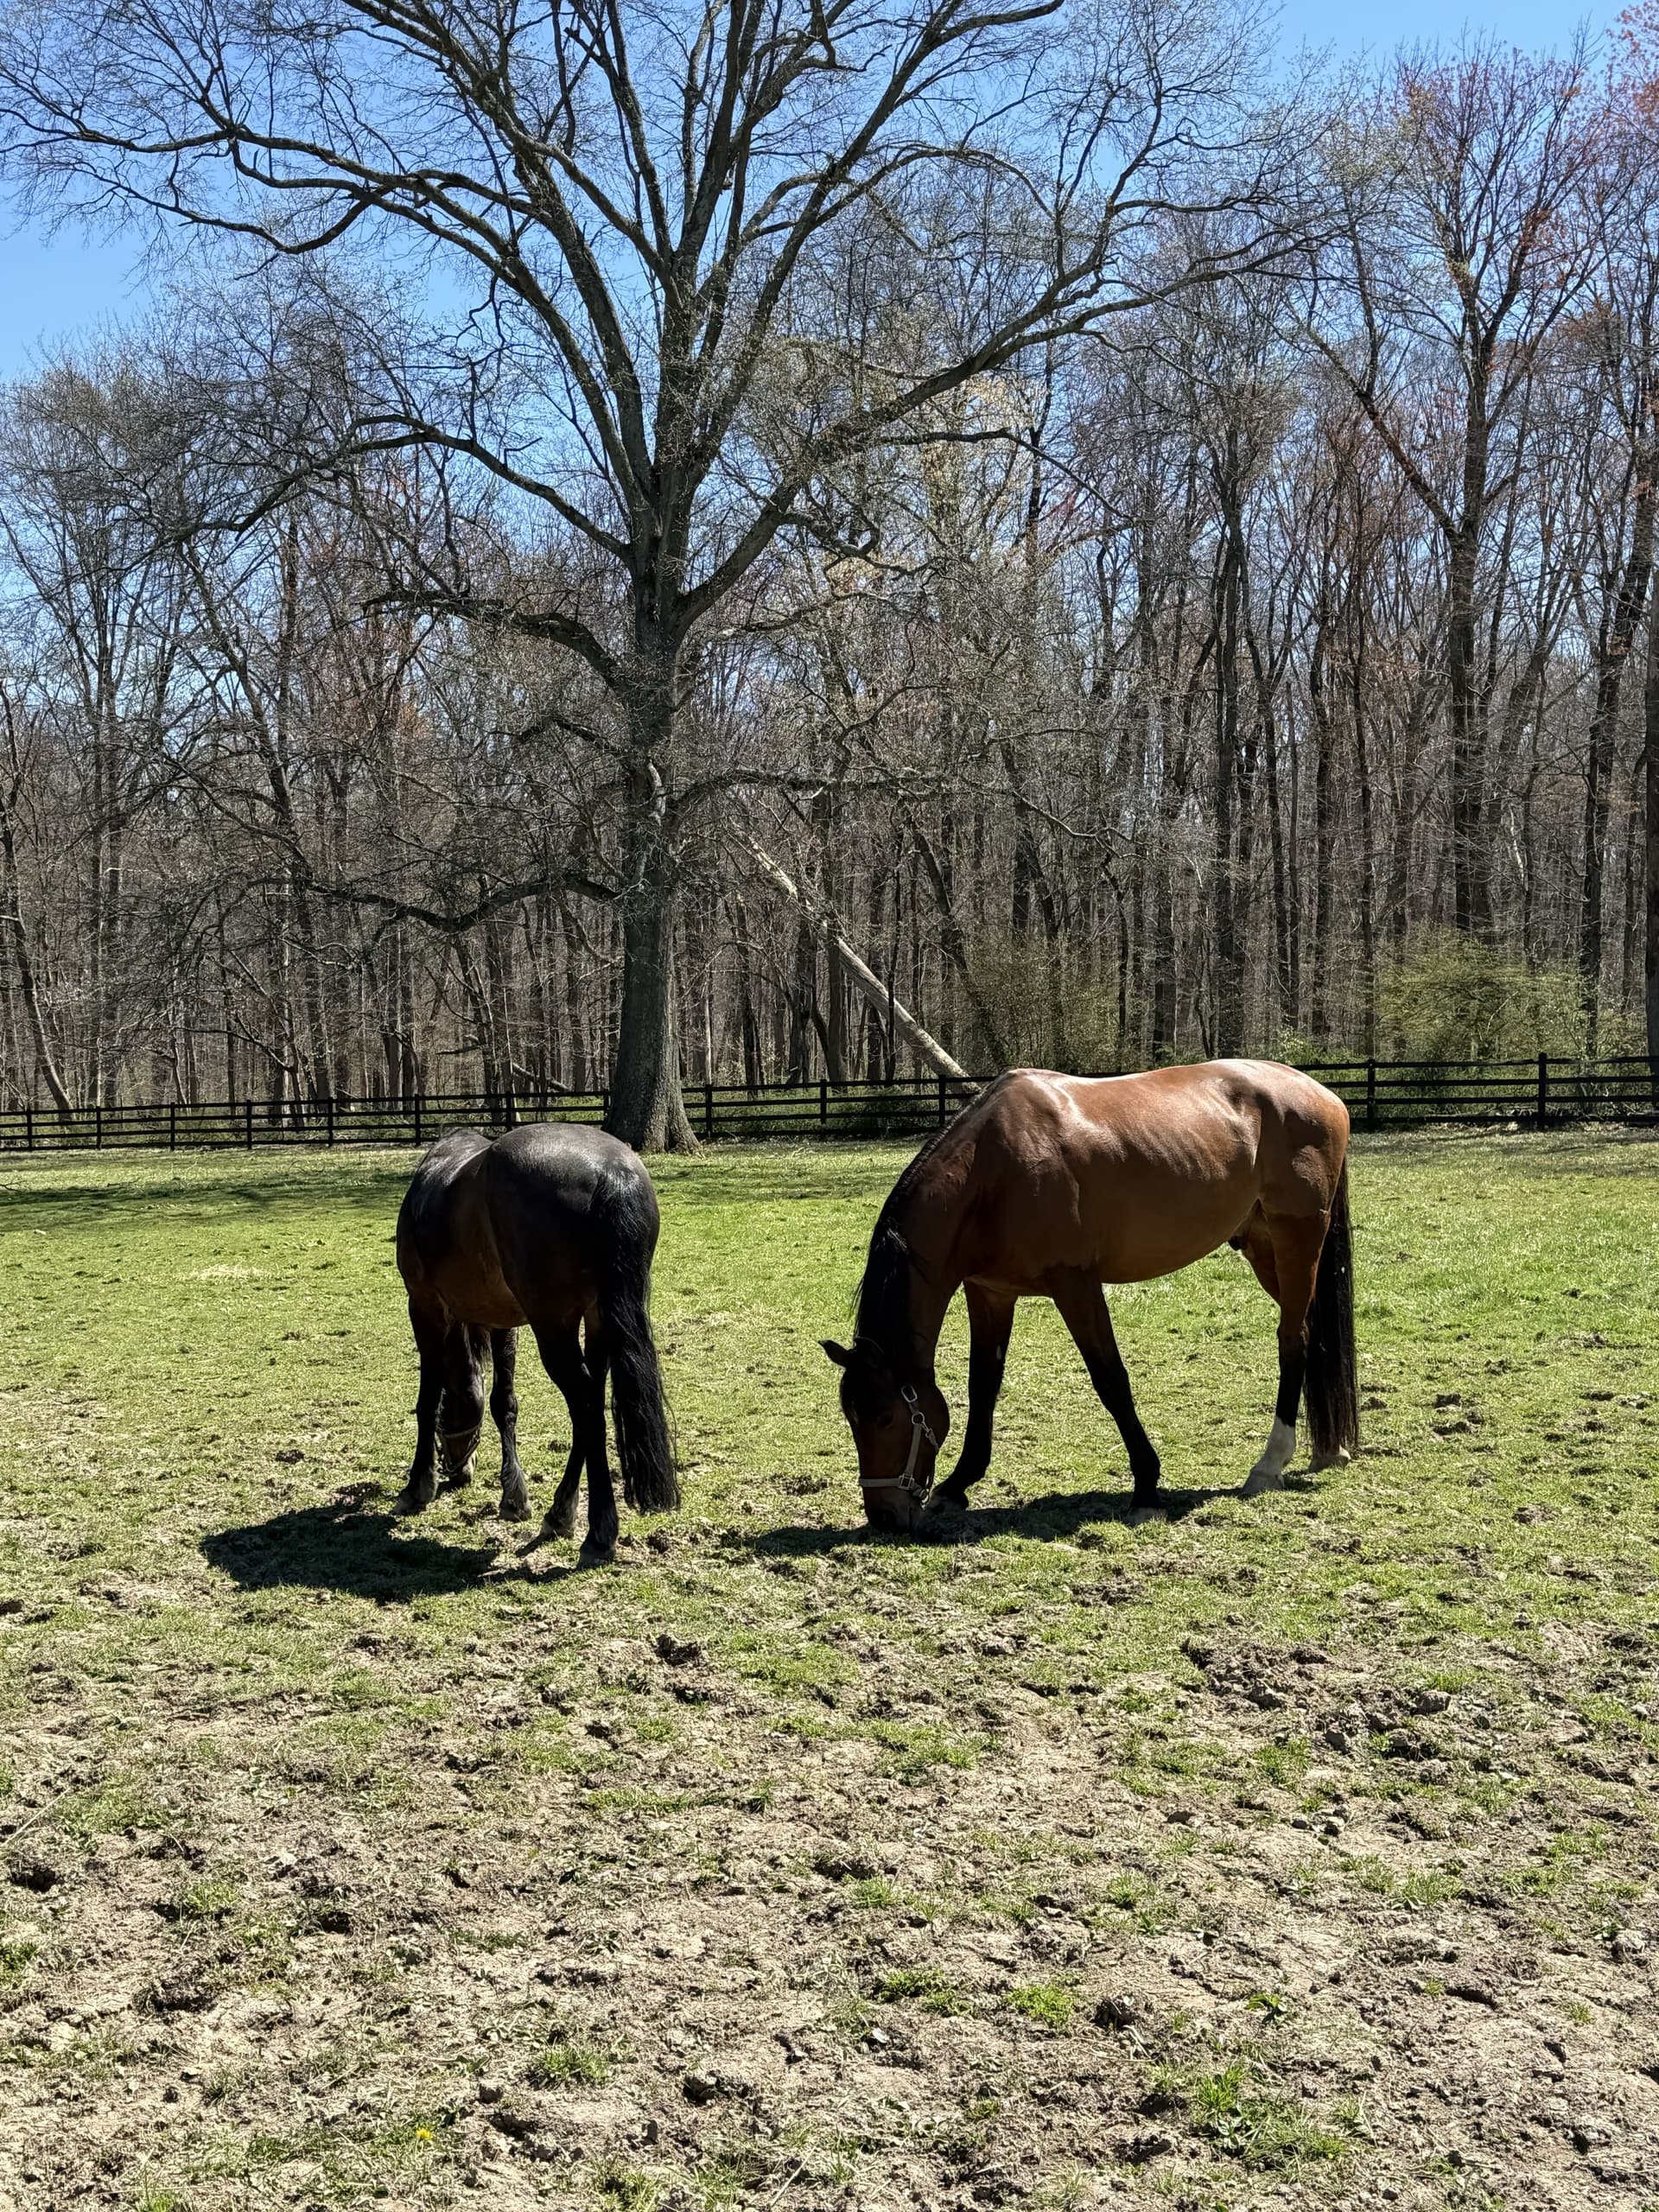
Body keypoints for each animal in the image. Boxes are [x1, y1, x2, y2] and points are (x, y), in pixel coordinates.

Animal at [393, 1122, 678, 1565]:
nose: (459, 1469)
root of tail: (610, 1171)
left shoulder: (424, 1307)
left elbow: (428, 1401)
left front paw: (417, 1486)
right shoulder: (501, 1320)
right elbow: (503, 1403)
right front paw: (514, 1496)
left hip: (553, 1327)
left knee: (586, 1407)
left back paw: (599, 1532)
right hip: (598, 1320)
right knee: (591, 1401)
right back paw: (561, 1512)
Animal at [823, 1061, 1357, 1532]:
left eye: (886, 1417)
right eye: (851, 1417)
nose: (885, 1516)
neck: (990, 1173)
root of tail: (1324, 1096)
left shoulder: (1076, 1285)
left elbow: (1111, 1380)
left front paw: (1146, 1489)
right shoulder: (991, 1294)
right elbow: (983, 1387)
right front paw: (957, 1486)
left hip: (1295, 1242)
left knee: (1293, 1340)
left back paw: (1268, 1465)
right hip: (1263, 1249)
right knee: (1312, 1335)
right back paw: (1326, 1449)